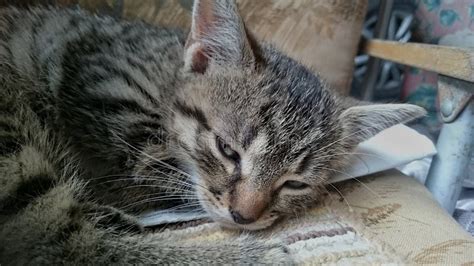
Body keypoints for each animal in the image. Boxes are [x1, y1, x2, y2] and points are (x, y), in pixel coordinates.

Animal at [0, 0, 424, 262]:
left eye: (294, 184)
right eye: (227, 149)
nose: (243, 217)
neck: (167, 71)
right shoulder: (109, 91)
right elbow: (155, 167)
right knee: (61, 242)